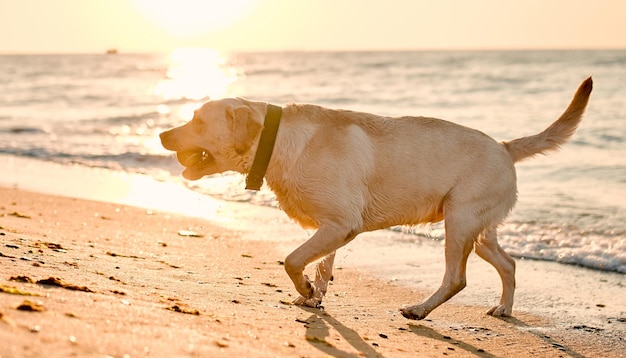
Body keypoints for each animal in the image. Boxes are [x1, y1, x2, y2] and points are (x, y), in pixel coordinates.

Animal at [160, 77, 588, 318]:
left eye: (197, 120)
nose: (163, 134)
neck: (278, 141)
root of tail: (504, 146)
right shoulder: (331, 226)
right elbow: (321, 266)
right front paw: (313, 297)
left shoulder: (340, 223)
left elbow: (294, 260)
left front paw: (305, 290)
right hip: (479, 231)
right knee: (509, 264)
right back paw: (504, 308)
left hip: (459, 221)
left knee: (457, 278)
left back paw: (420, 309)